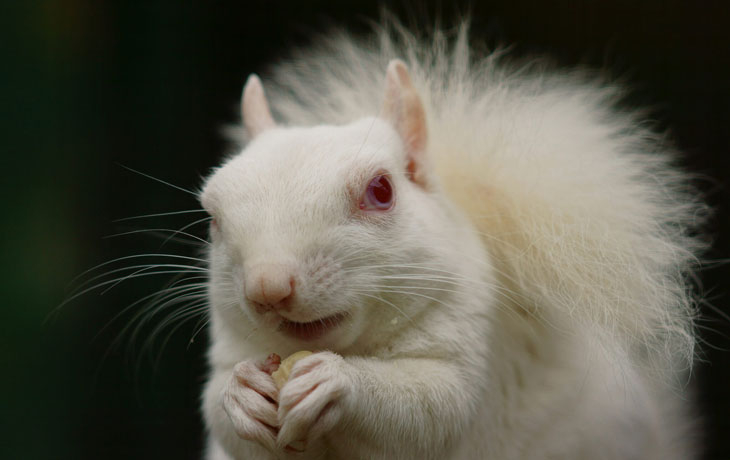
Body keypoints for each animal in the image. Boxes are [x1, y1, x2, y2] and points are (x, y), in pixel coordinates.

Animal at [196, 21, 704, 460]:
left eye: (381, 191)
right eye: (214, 216)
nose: (267, 288)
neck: (355, 347)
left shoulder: (470, 347)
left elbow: (430, 411)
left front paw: (338, 383)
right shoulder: (231, 348)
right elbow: (225, 420)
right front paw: (240, 394)